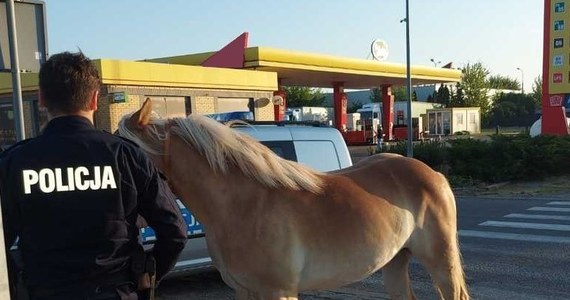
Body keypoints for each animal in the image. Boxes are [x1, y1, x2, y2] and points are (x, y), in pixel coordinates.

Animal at [117, 101, 468, 300]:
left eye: (125, 151)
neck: (243, 206)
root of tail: (433, 173)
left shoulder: (279, 292)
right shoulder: (244, 291)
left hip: (442, 264)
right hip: (395, 260)